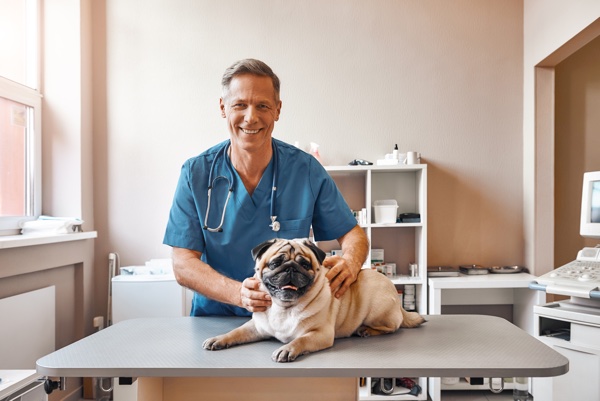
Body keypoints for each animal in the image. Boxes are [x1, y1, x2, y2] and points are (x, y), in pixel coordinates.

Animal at [203, 238, 426, 362]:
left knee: (392, 327)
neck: (284, 308)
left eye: (305, 265)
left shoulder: (320, 334)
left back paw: (366, 331)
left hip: (378, 310)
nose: (291, 268)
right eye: (275, 263)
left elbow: (301, 339)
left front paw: (287, 349)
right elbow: (235, 332)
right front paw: (219, 339)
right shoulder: (256, 328)